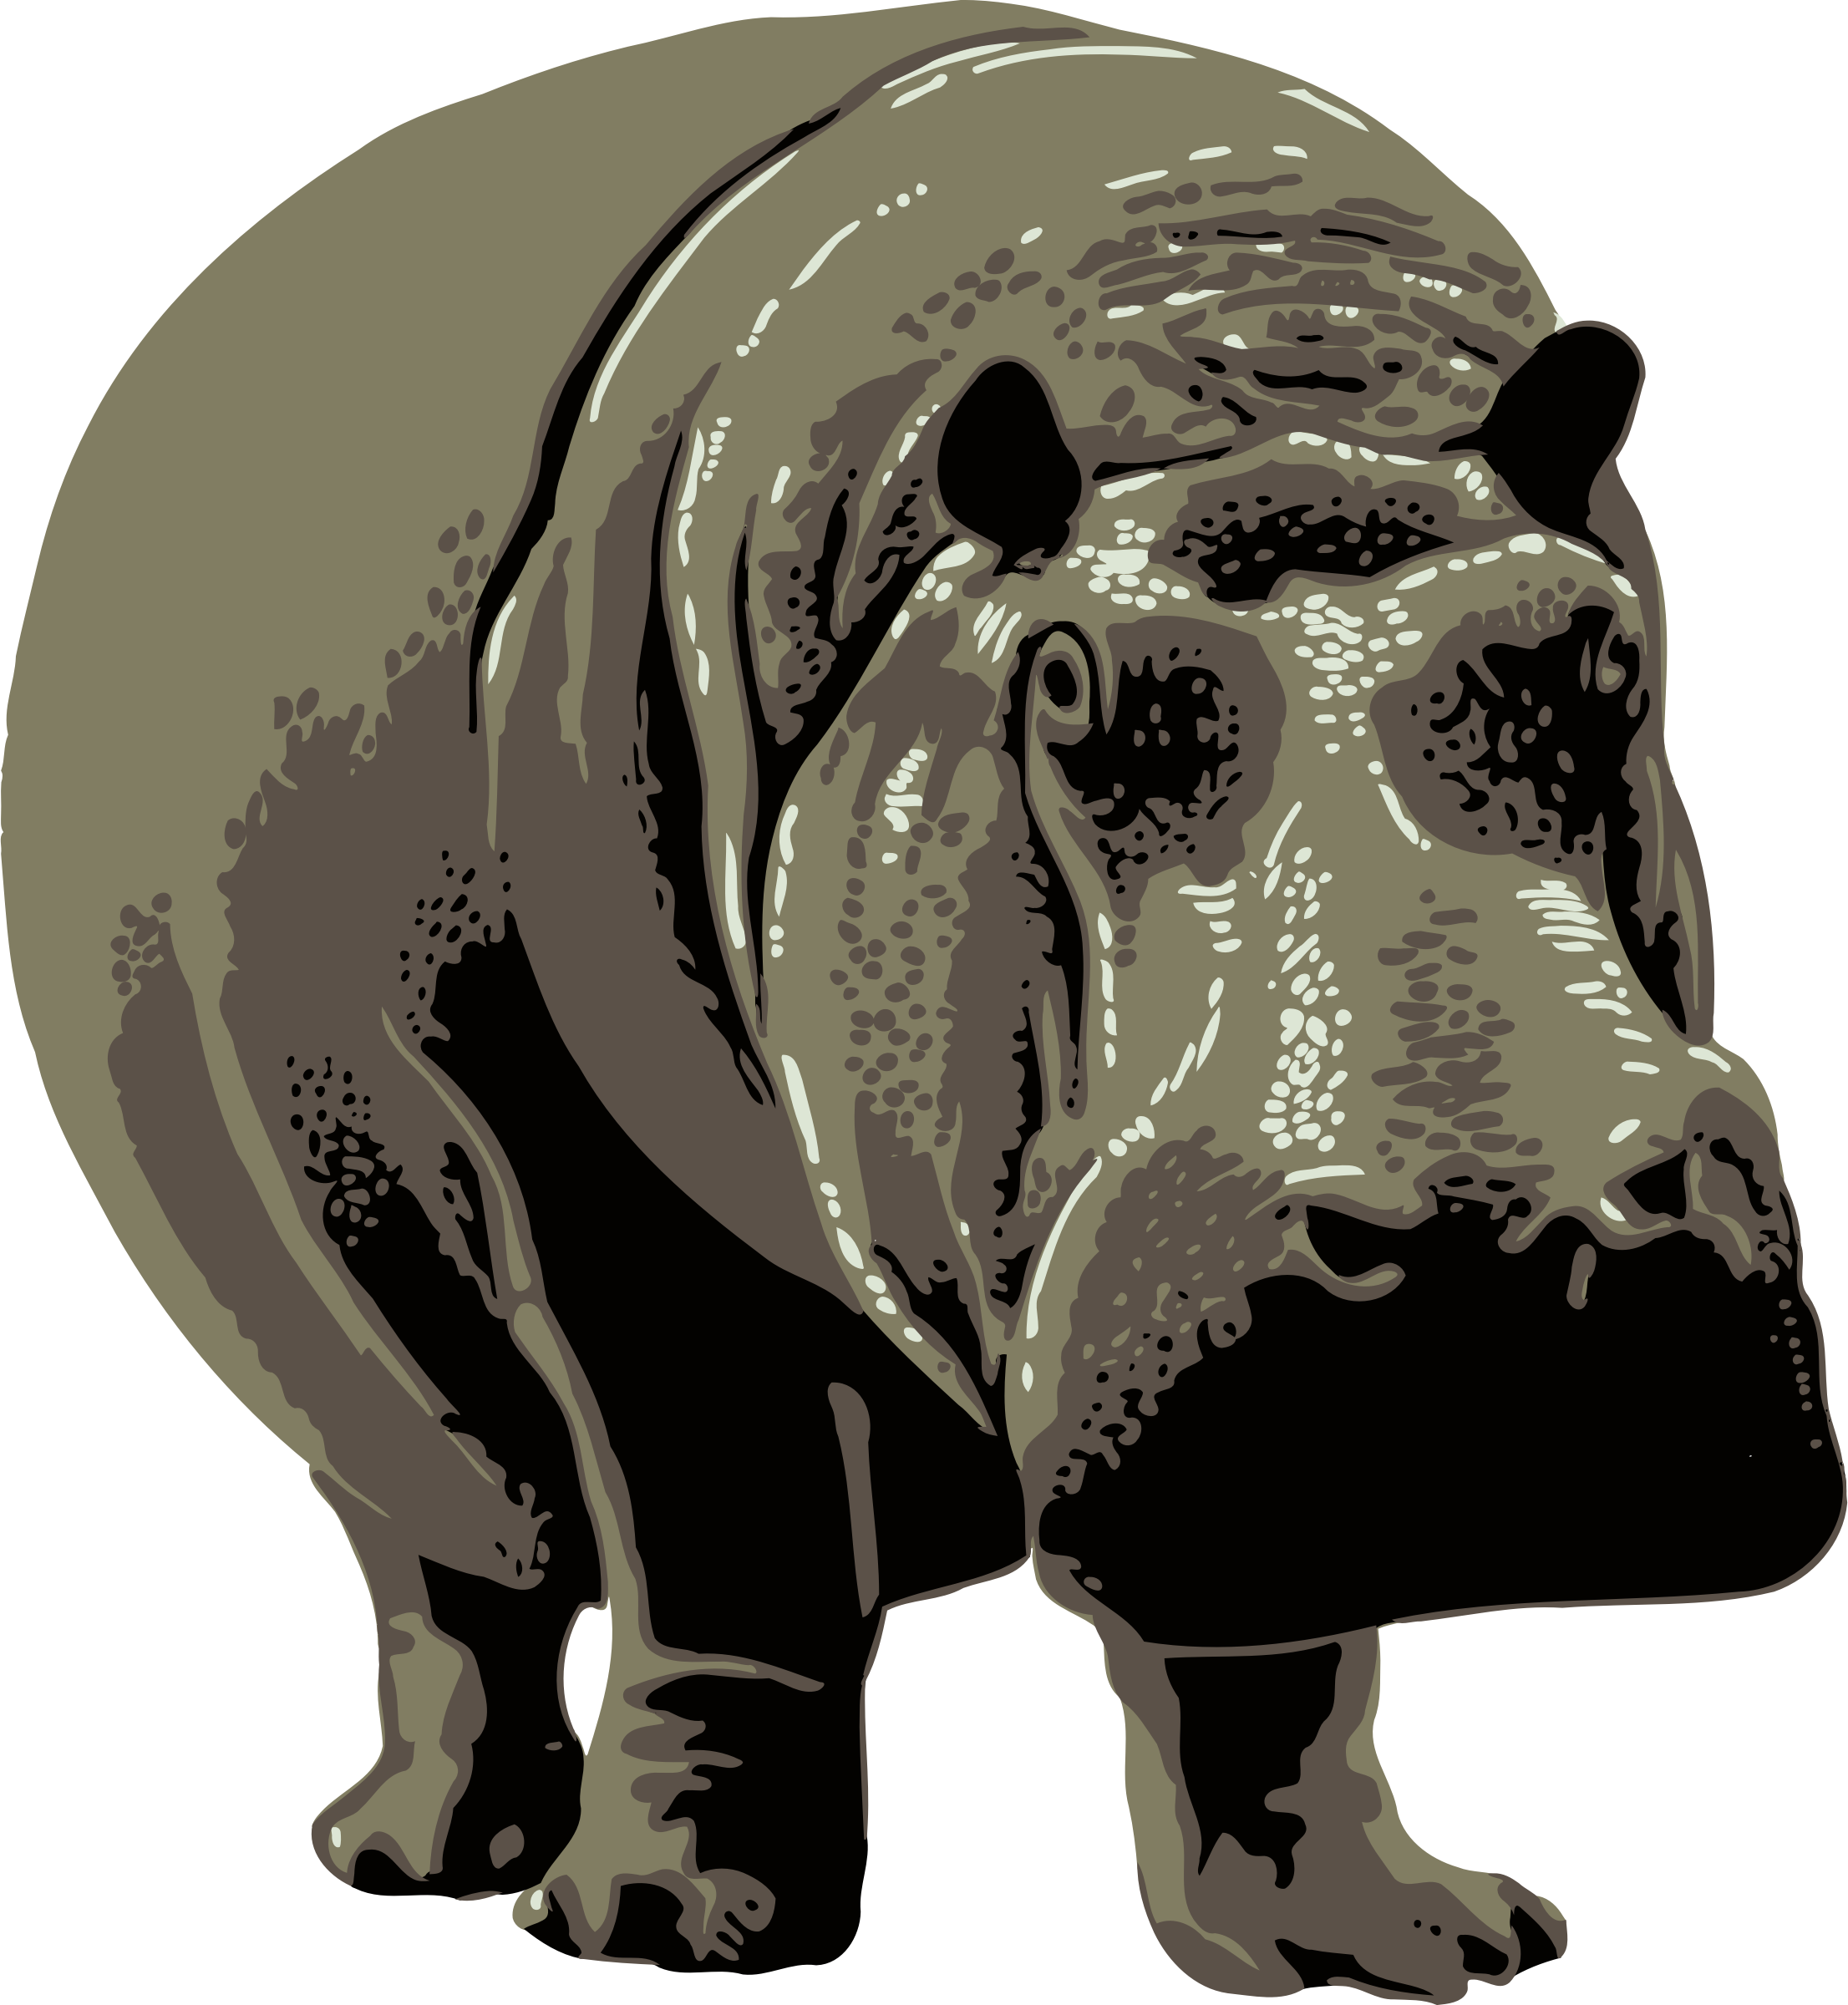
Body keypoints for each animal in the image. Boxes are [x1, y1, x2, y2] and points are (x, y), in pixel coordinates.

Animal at [13, 14, 1839, 1996]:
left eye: (1604, 646)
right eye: (1064, 683)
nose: (1502, 1228)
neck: (1237, 363)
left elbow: (1273, 1666)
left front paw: (1396, 1948)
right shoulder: (602, 1193)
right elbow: (723, 1541)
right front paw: (676, 1928)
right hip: (333, 1353)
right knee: (456, 1568)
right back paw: (416, 1860)